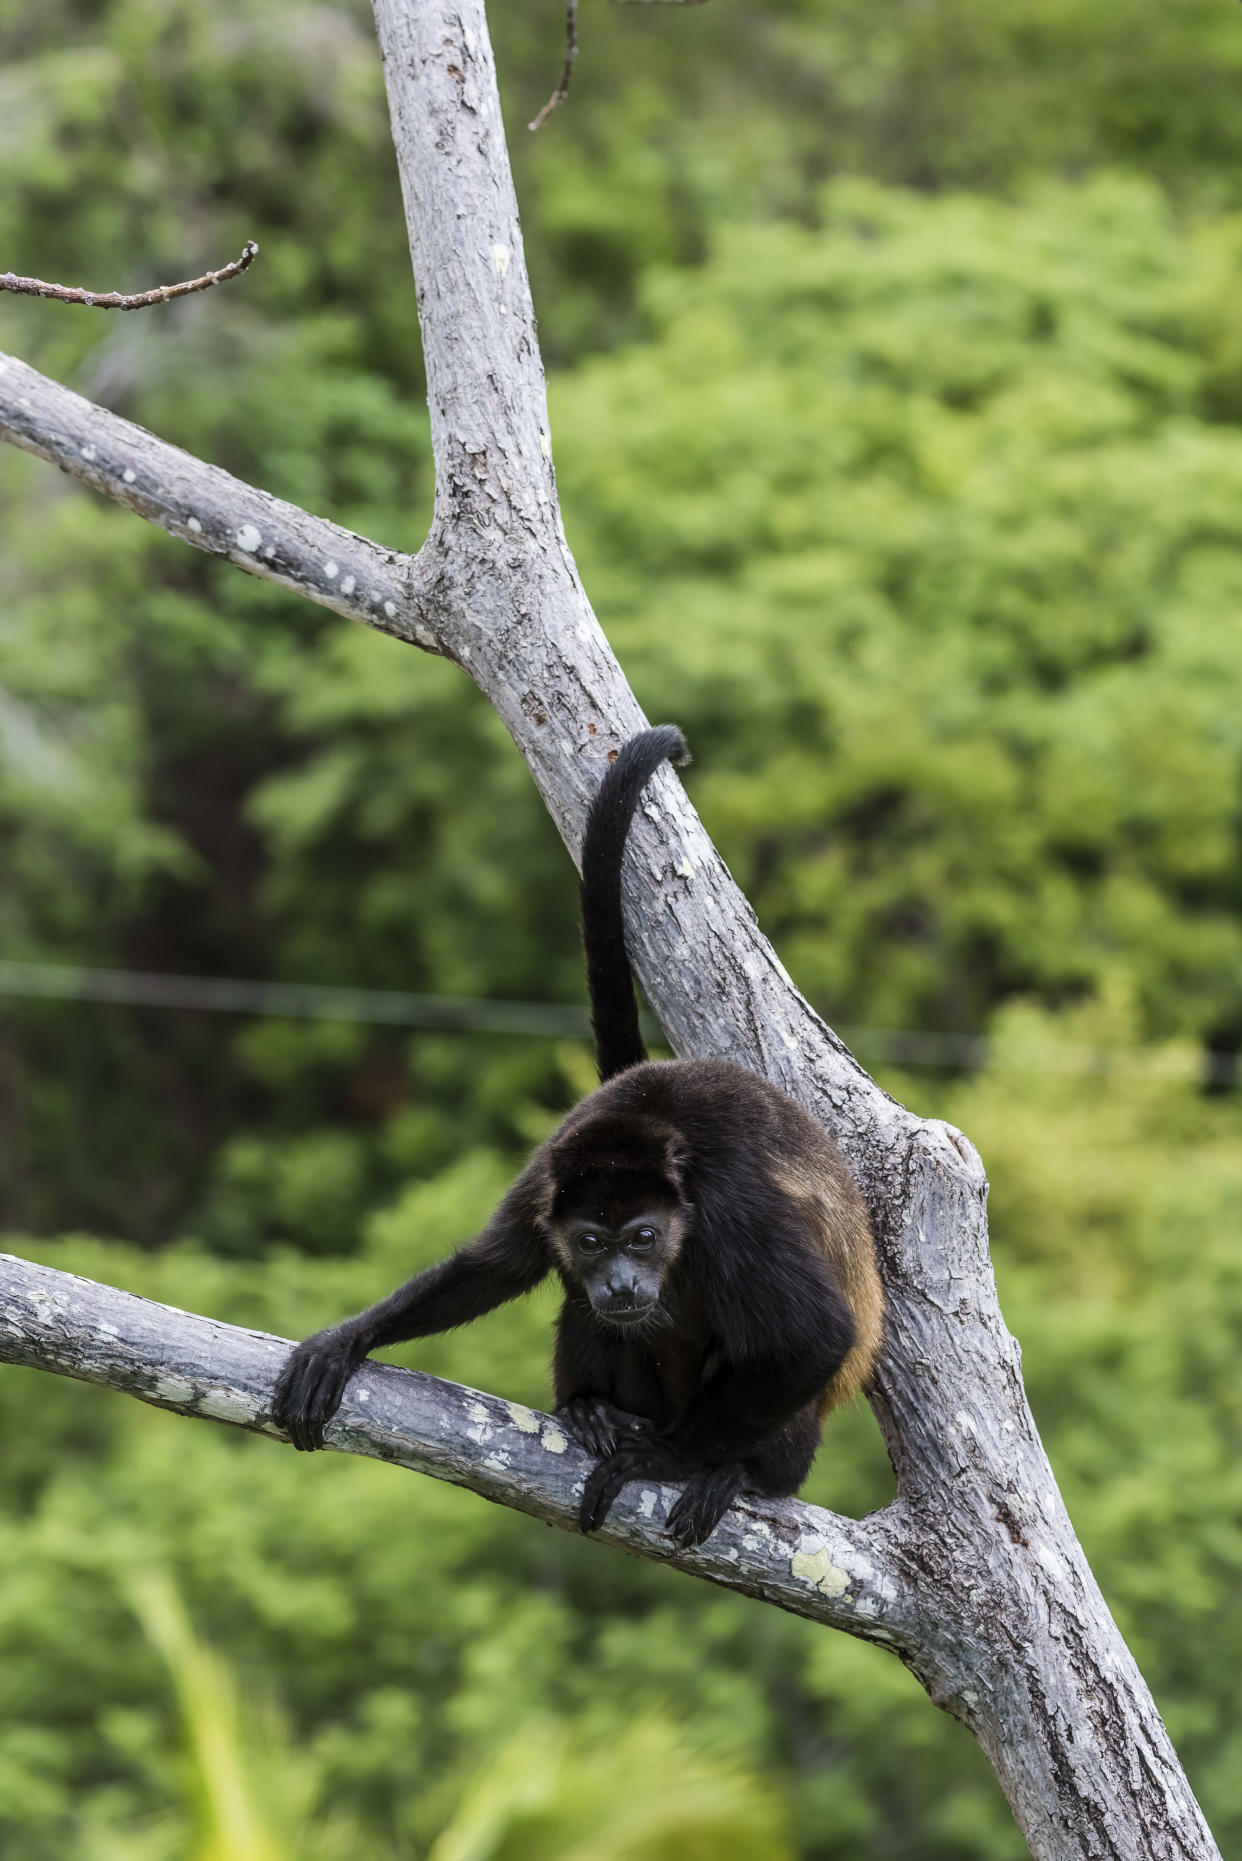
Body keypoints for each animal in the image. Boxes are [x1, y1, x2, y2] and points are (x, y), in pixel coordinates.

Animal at [271, 725, 882, 1555]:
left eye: (645, 1235)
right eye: (593, 1241)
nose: (621, 1280)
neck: (648, 1131)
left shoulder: (734, 1203)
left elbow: (817, 1332)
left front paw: (667, 1459)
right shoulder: (548, 1175)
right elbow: (493, 1266)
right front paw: (348, 1338)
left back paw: (737, 1470)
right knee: (581, 1310)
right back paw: (591, 1406)